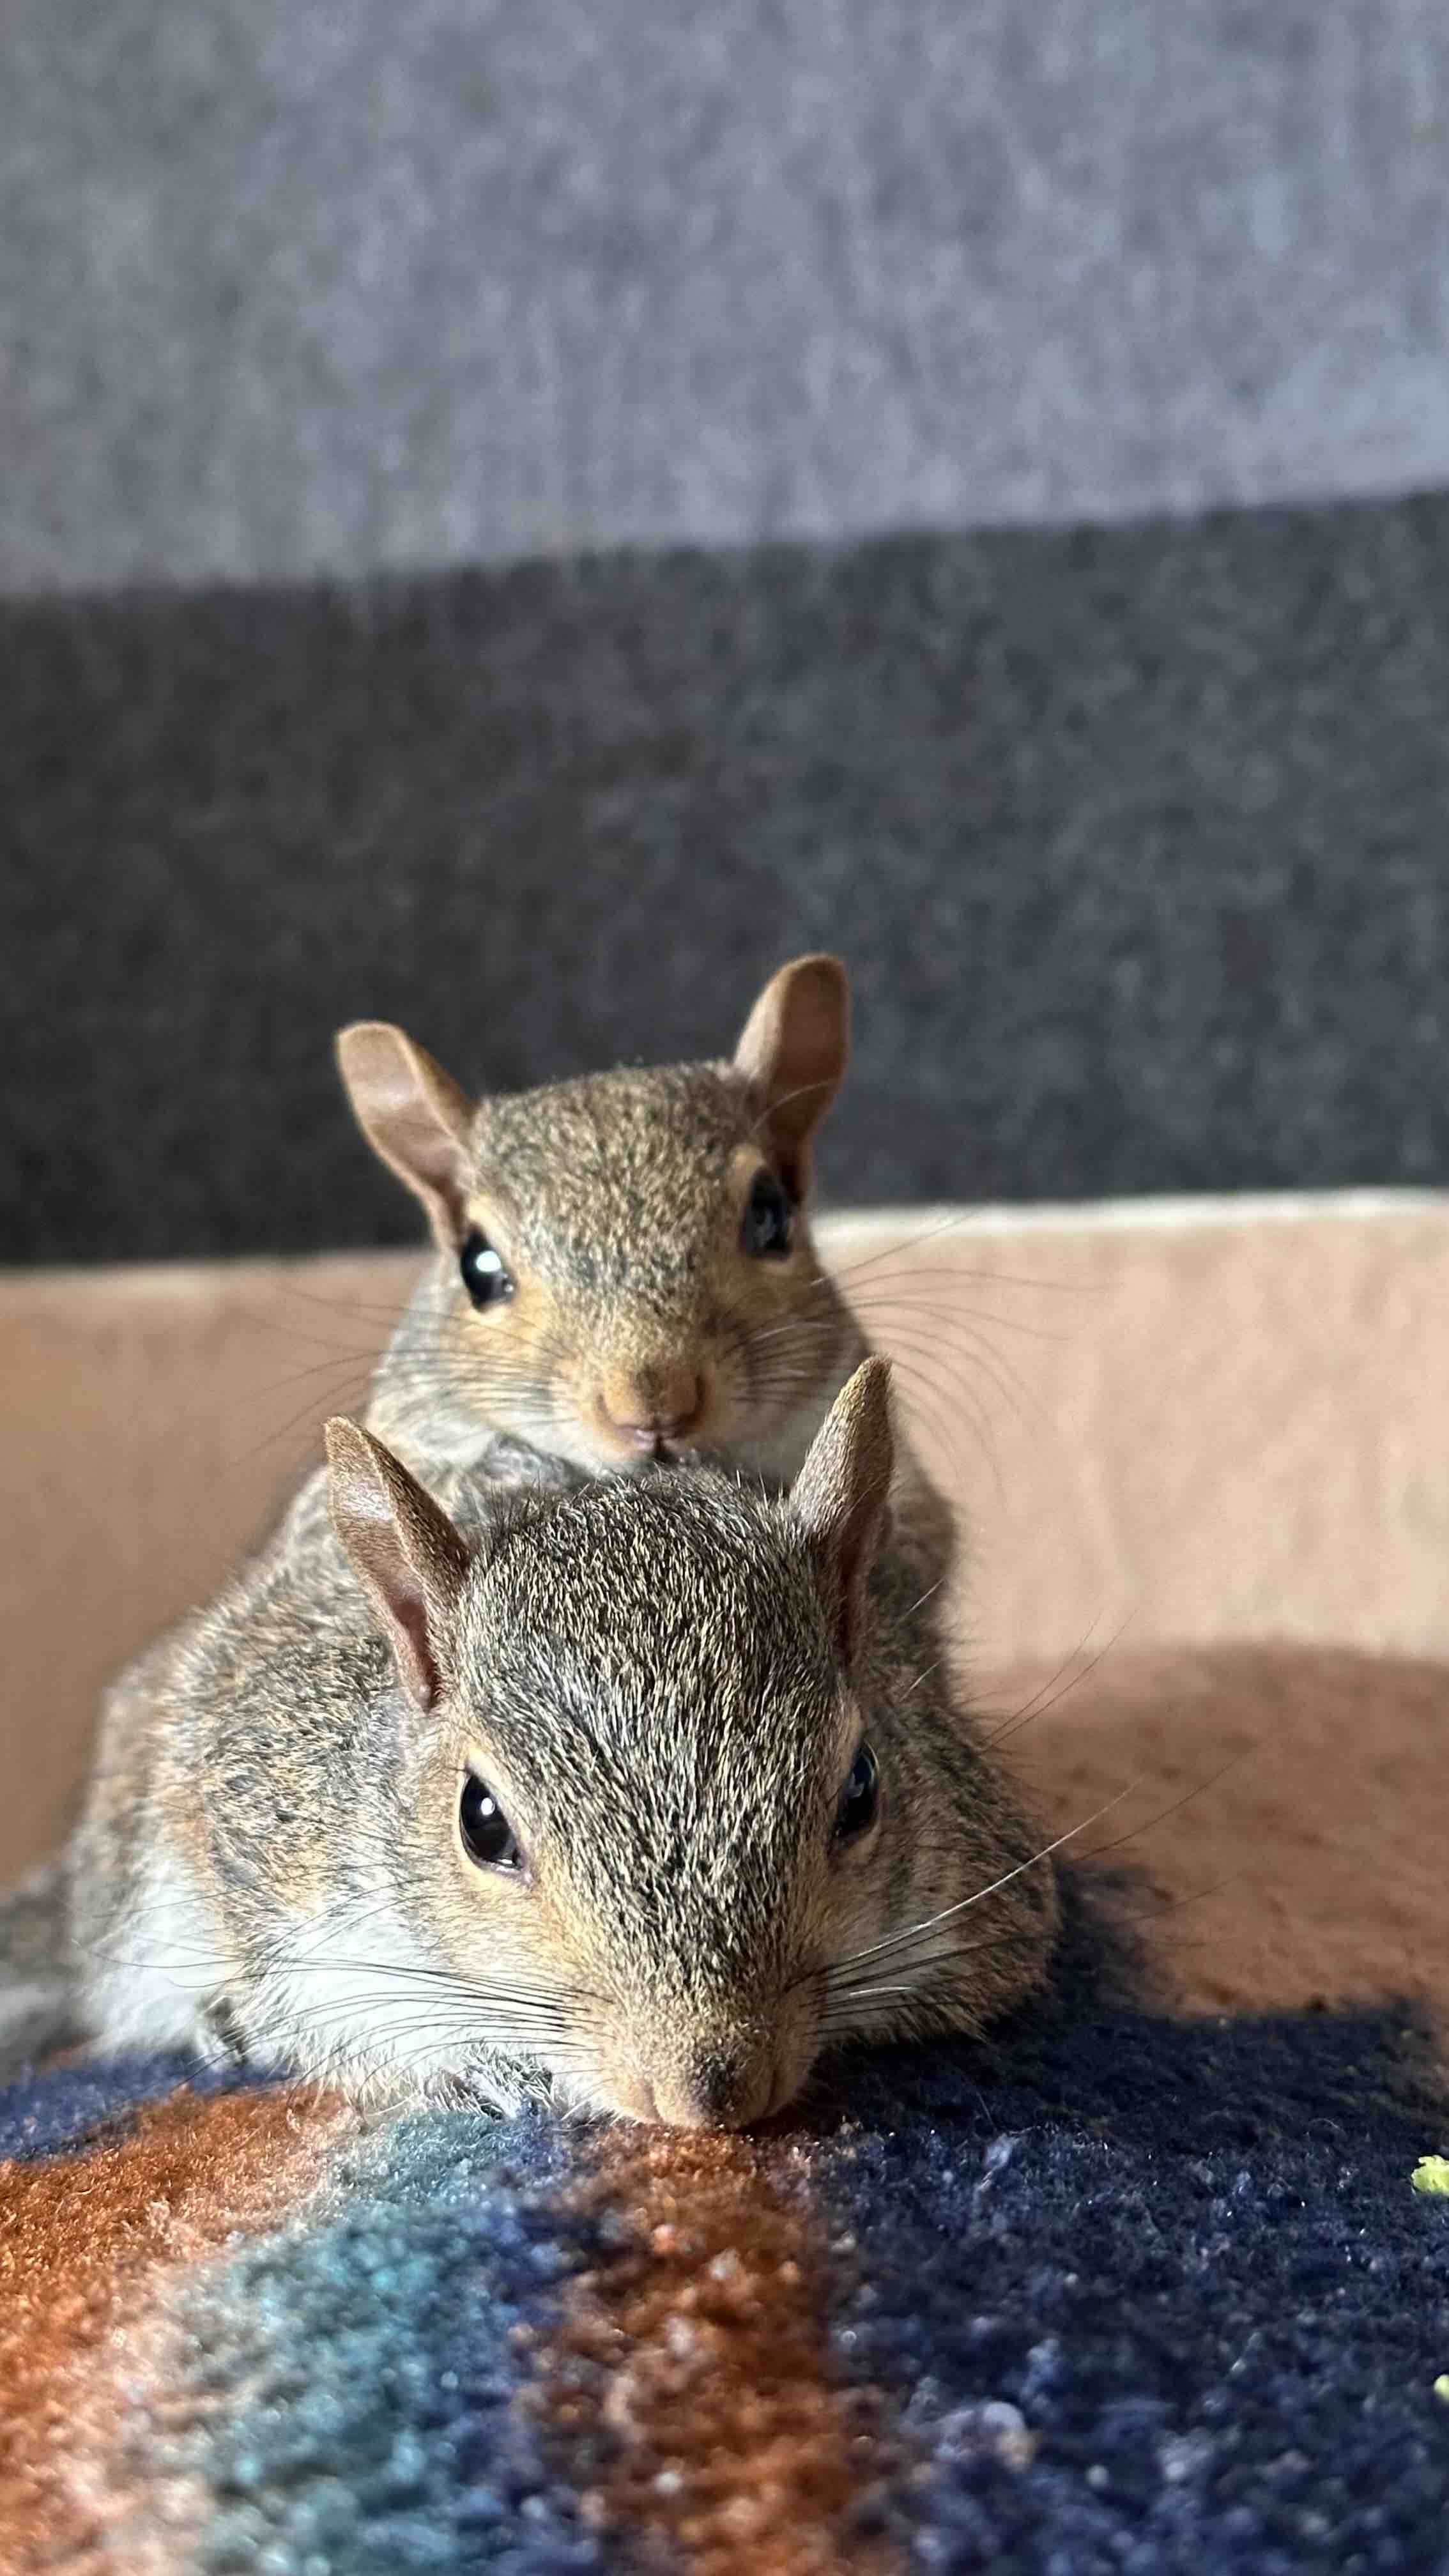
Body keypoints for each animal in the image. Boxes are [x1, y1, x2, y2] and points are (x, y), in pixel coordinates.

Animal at [67, 1362, 1057, 2126]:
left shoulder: (986, 1885)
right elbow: (321, 2016)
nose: (708, 2093)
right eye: (482, 1823)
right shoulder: (283, 1861)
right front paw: (477, 2064)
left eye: (861, 1790)